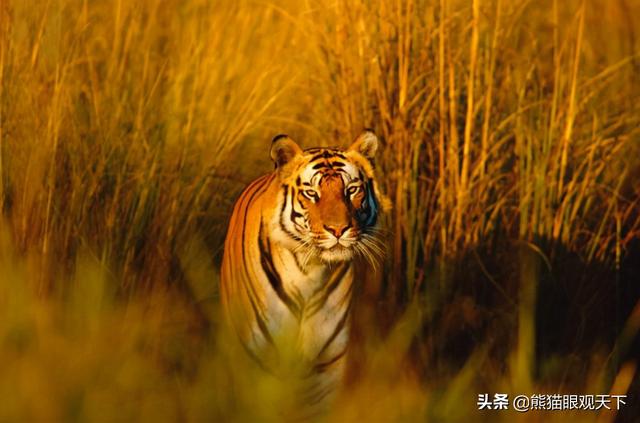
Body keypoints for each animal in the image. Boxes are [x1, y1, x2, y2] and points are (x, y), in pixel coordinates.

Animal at [220, 130, 389, 417]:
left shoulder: (325, 367)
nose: (338, 229)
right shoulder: (258, 360)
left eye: (351, 190)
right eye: (312, 193)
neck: (309, 272)